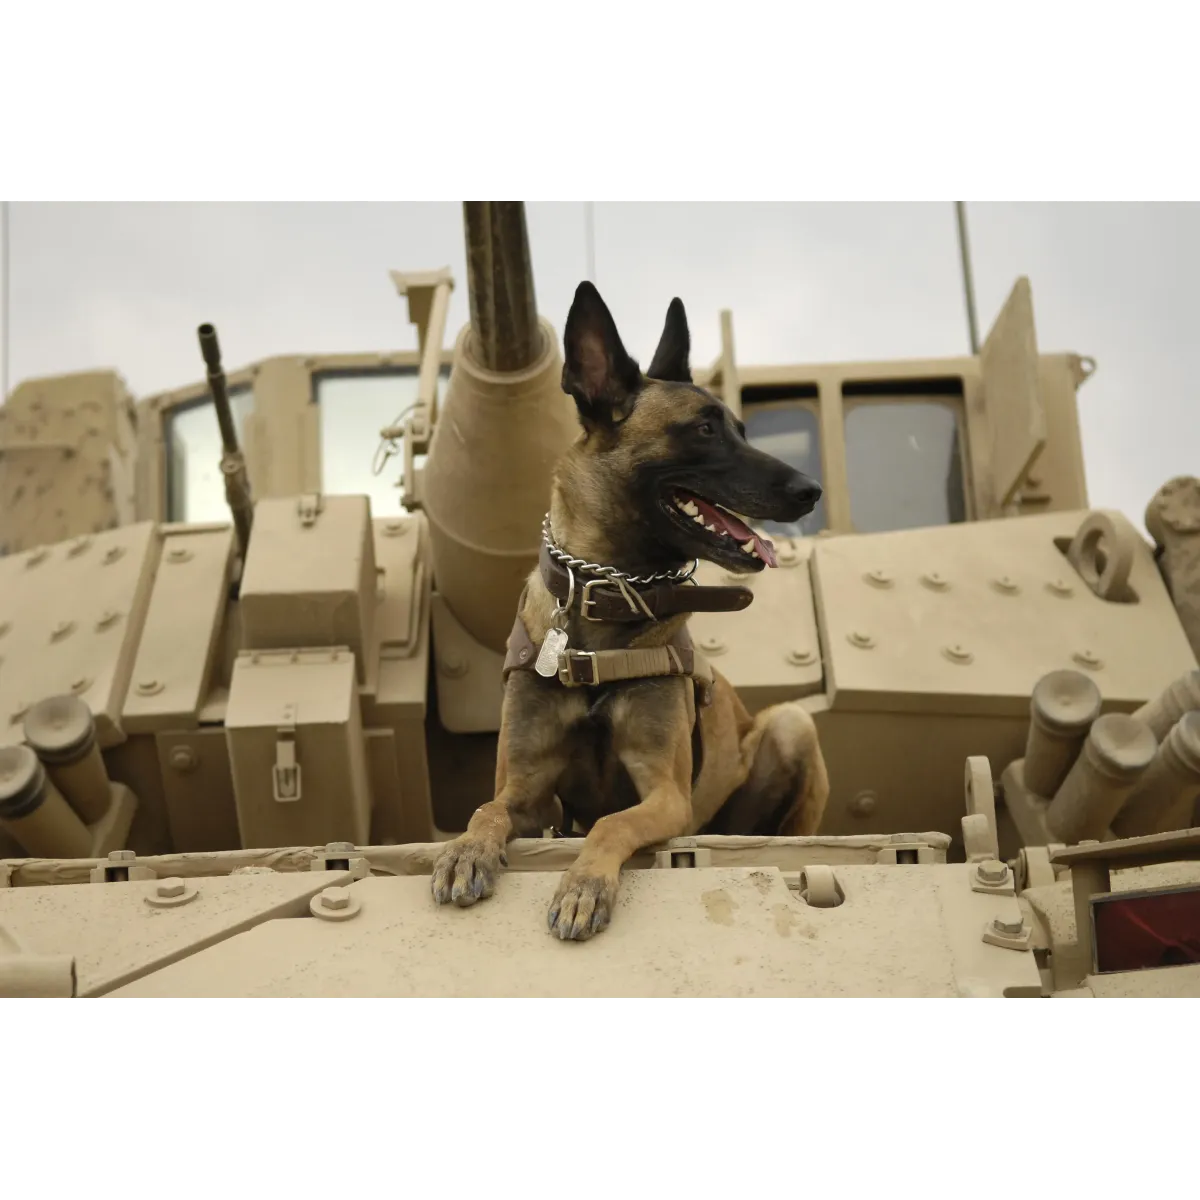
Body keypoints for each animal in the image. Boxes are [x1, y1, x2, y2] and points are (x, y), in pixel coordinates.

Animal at [434, 278, 835, 936]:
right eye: (704, 430)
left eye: (741, 428)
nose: (810, 490)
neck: (604, 600)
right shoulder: (527, 791)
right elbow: (485, 810)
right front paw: (466, 853)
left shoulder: (665, 795)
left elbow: (609, 821)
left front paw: (583, 886)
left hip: (790, 726)